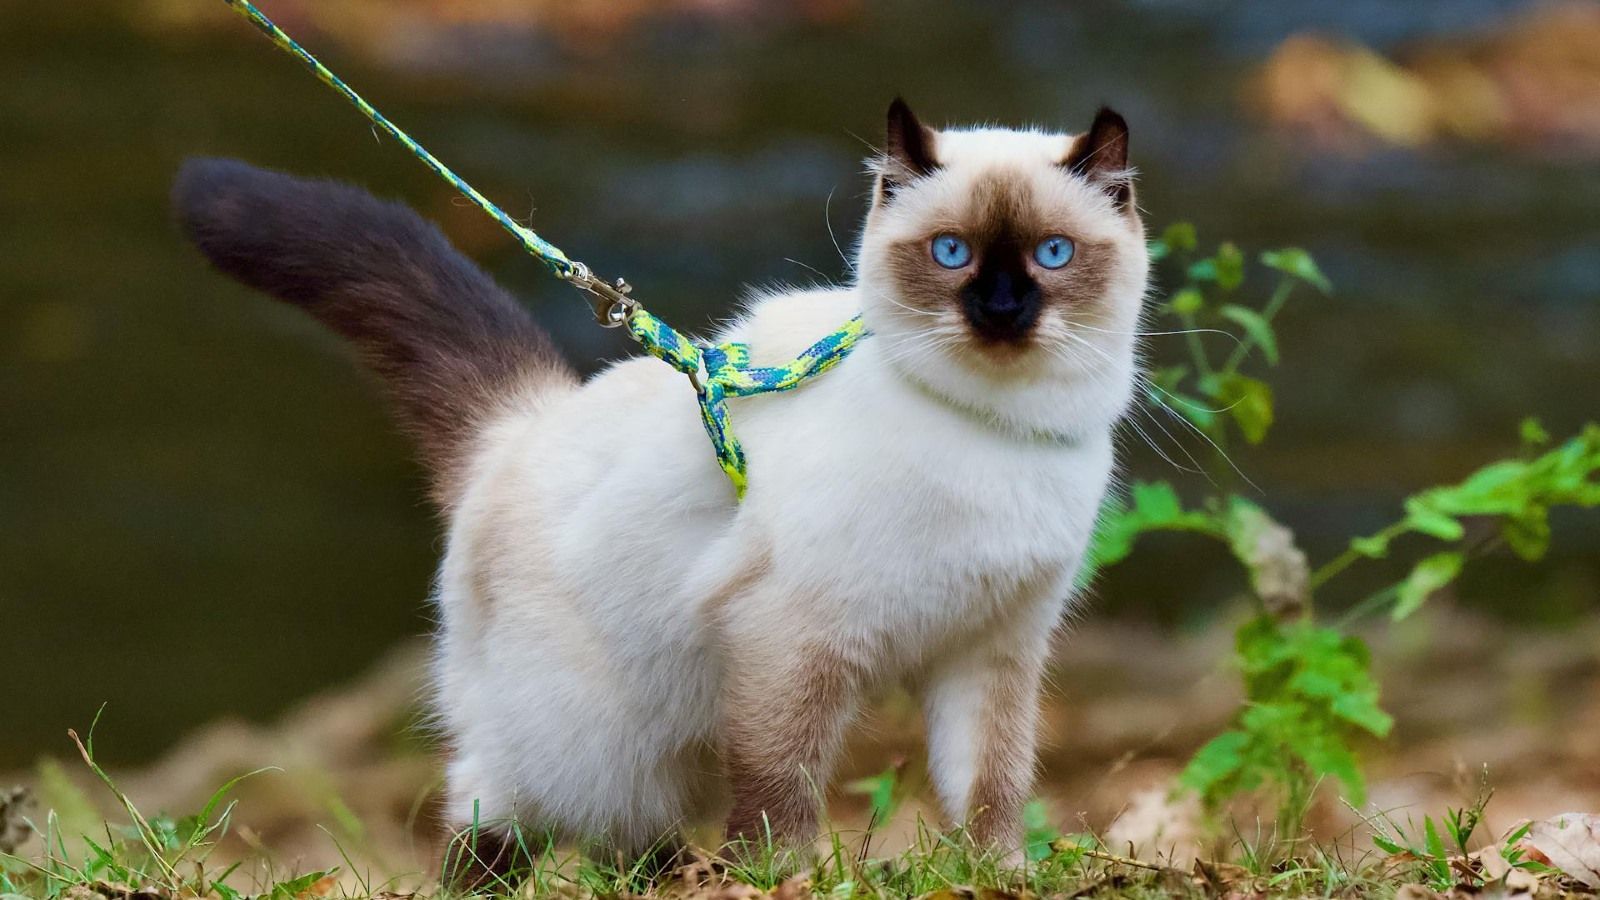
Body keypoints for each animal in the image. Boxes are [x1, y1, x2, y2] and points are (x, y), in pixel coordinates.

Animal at [172, 98, 1152, 877]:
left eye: (1053, 254)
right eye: (951, 253)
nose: (1000, 311)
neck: (994, 436)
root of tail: (522, 426)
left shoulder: (991, 648)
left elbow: (991, 786)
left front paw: (1001, 874)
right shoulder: (793, 637)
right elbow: (781, 789)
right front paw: (782, 880)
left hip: (657, 742)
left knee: (623, 843)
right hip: (587, 741)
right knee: (500, 820)